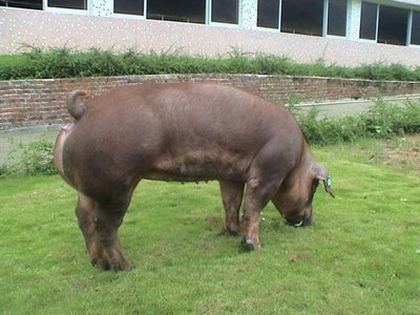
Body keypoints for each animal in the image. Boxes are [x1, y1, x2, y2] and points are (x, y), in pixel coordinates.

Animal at [53, 83, 334, 272]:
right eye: (313, 189)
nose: (310, 221)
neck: (297, 160)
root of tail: (83, 111)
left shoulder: (231, 176)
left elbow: (231, 202)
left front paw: (230, 233)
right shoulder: (267, 173)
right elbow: (253, 207)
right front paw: (253, 246)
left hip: (88, 189)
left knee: (83, 217)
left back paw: (98, 263)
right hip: (116, 186)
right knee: (105, 225)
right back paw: (125, 266)